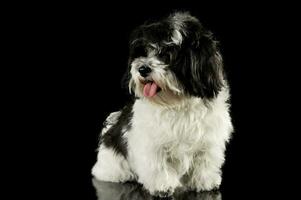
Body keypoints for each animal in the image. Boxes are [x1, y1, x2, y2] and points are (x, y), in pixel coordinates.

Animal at [91, 11, 232, 197]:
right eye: (143, 52)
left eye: (167, 53)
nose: (142, 69)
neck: (177, 103)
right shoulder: (152, 144)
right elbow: (158, 165)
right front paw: (162, 186)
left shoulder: (208, 141)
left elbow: (205, 161)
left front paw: (205, 182)